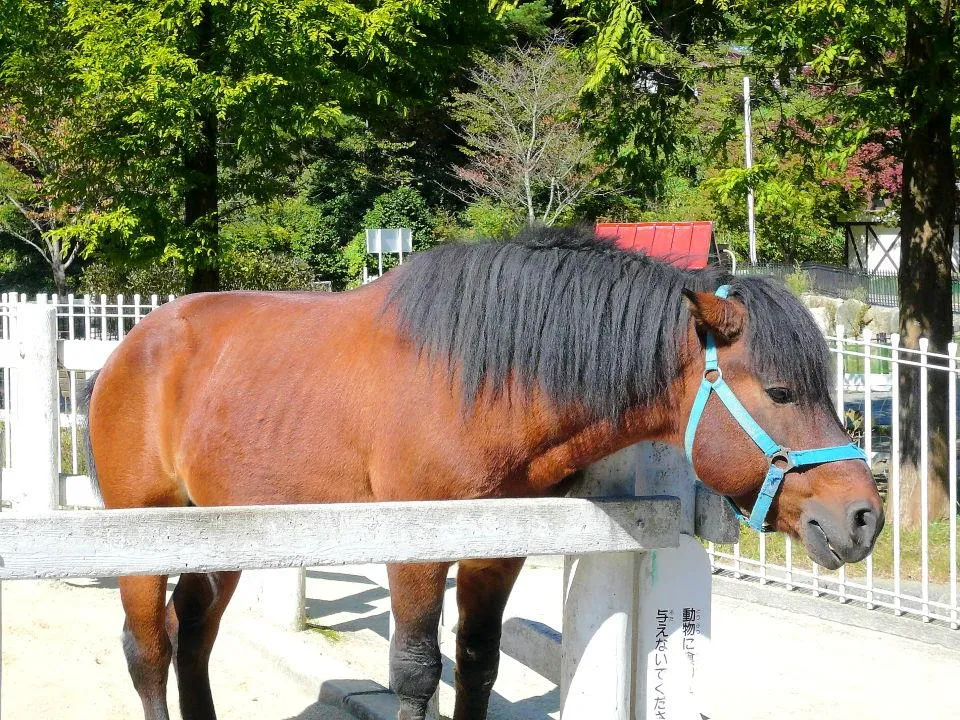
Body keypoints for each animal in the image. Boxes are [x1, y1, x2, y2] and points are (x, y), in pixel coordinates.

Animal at [84, 228, 884, 720]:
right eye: (780, 391)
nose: (862, 516)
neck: (482, 383)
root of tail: (130, 346)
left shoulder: (496, 553)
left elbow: (477, 664)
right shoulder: (415, 551)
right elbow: (415, 670)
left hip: (219, 535)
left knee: (192, 633)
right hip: (141, 535)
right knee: (148, 648)